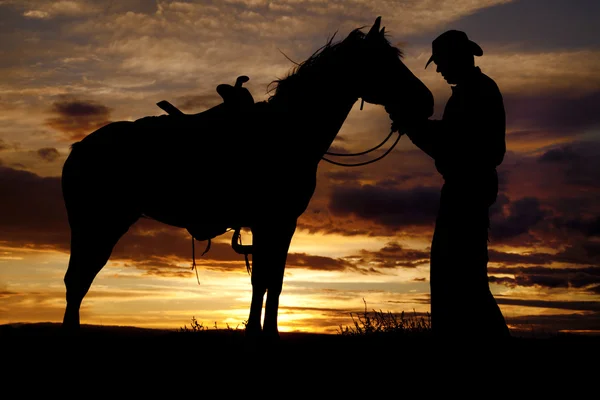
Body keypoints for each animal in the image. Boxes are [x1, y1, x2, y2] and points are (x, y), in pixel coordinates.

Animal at [61, 17, 434, 340]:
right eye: (384, 61)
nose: (427, 101)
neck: (288, 133)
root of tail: (78, 148)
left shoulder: (277, 224)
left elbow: (270, 281)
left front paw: (264, 331)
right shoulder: (274, 221)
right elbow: (265, 280)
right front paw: (261, 333)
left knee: (78, 280)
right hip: (100, 223)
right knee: (77, 280)